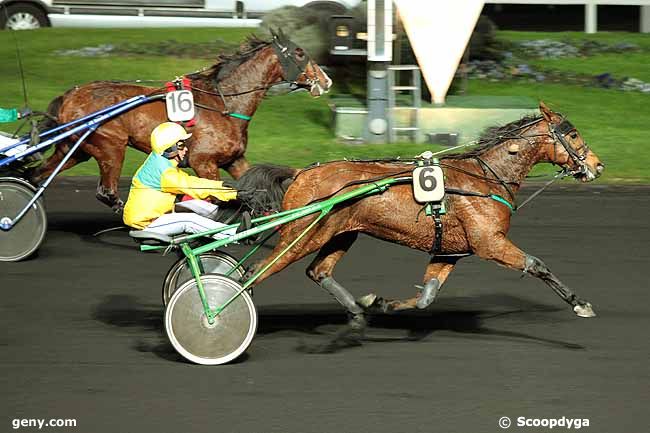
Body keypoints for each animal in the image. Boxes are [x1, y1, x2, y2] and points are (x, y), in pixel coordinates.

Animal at [32, 29, 330, 210]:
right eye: (300, 53)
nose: (326, 80)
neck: (224, 102)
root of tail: (71, 94)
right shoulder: (204, 162)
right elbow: (214, 196)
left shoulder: (234, 160)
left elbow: (257, 188)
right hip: (109, 147)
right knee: (107, 192)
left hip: (75, 150)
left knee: (37, 175)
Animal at [243, 102, 604, 348]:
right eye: (573, 134)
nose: (598, 165)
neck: (485, 176)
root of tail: (301, 173)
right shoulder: (490, 243)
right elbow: (537, 265)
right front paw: (580, 304)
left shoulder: (449, 252)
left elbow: (426, 296)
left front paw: (378, 303)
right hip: (302, 235)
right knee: (254, 272)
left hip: (340, 235)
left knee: (318, 271)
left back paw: (357, 316)